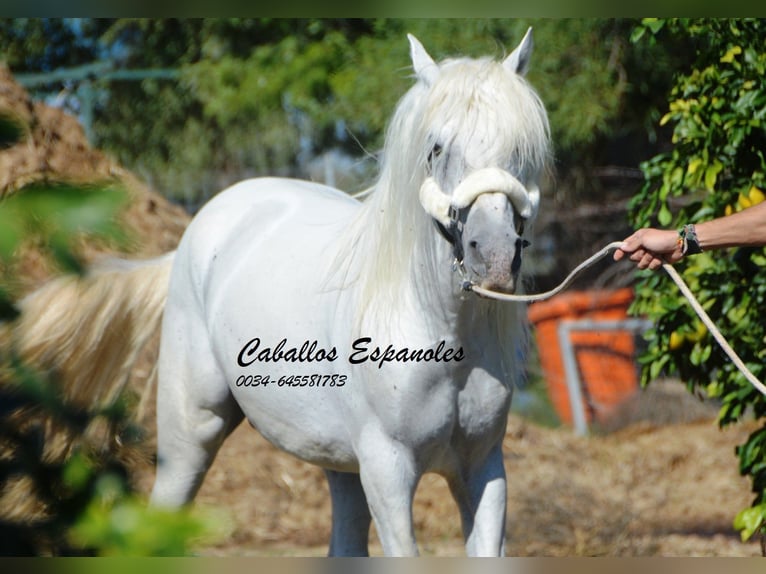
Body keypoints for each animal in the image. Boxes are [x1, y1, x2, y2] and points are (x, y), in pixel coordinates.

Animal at [18, 30, 552, 560]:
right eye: (436, 147)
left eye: (520, 150)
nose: (495, 257)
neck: (440, 335)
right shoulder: (389, 471)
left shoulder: (483, 471)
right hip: (191, 433)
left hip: (341, 465)